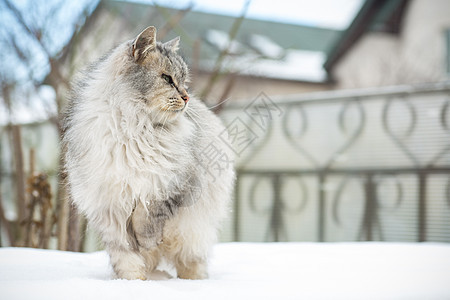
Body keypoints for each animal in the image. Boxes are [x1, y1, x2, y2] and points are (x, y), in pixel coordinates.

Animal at [62, 26, 236, 282]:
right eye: (167, 79)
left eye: (184, 81)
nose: (186, 97)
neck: (135, 128)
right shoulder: (110, 207)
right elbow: (127, 256)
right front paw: (134, 282)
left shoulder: (169, 187)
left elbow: (145, 218)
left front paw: (147, 242)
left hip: (194, 232)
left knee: (191, 262)